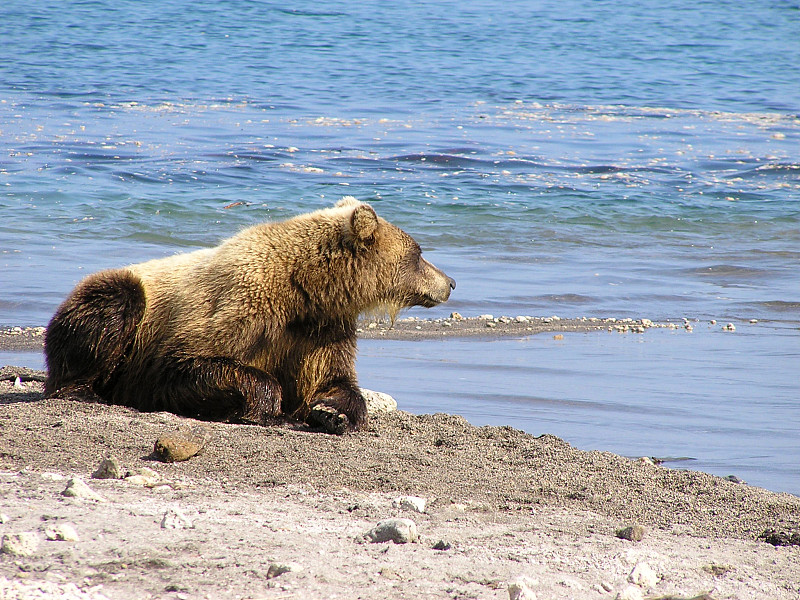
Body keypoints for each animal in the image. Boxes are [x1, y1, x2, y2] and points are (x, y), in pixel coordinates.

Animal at [45, 199, 456, 434]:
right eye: (419, 253)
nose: (450, 282)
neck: (305, 290)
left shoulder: (322, 330)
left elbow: (336, 380)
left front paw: (331, 412)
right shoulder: (237, 306)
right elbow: (183, 365)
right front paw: (272, 408)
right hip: (115, 301)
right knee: (115, 304)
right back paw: (83, 390)